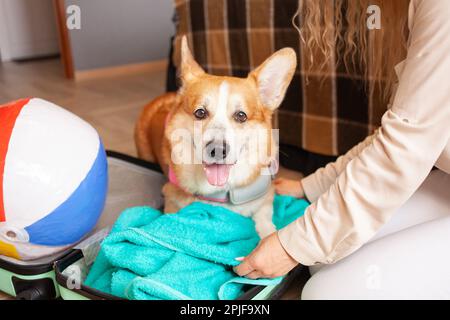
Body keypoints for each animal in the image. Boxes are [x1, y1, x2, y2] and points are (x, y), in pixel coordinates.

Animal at [135, 37, 298, 238]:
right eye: (200, 112)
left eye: (241, 116)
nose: (218, 150)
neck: (223, 191)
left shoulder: (265, 199)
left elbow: (265, 220)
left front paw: (268, 234)